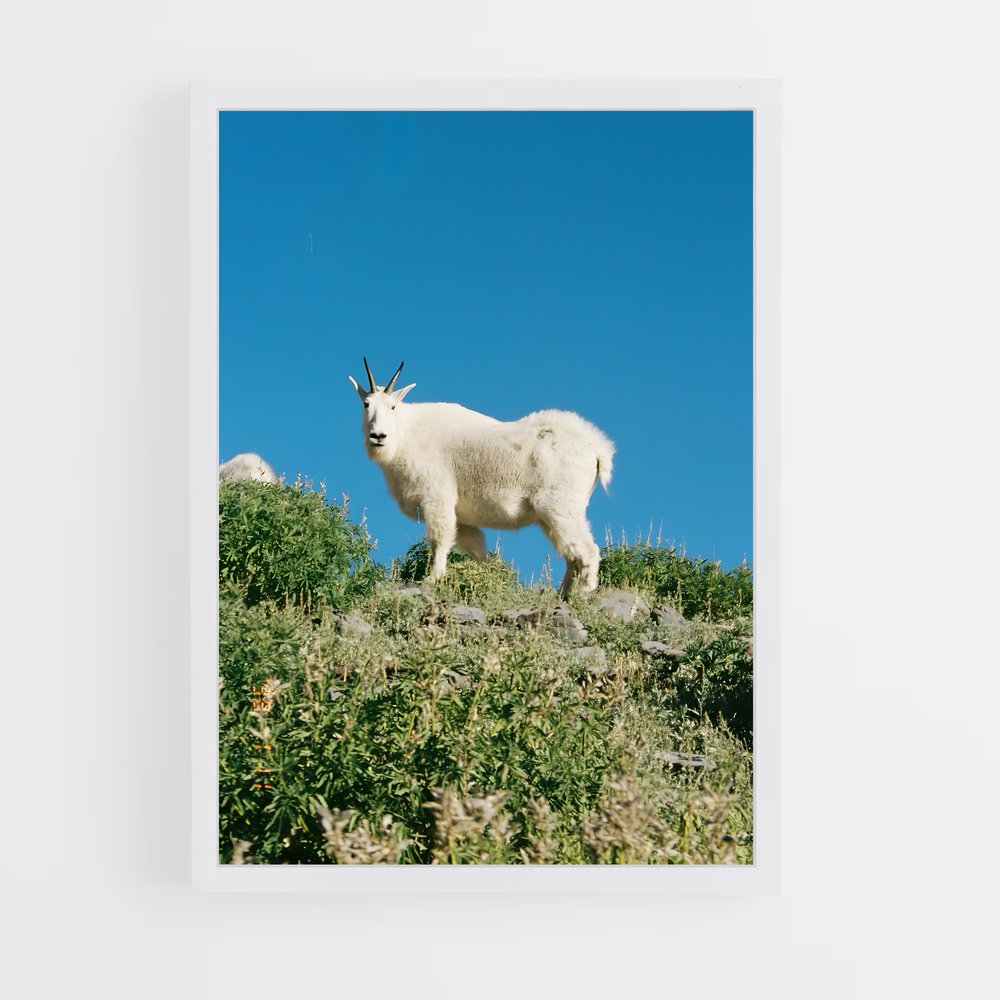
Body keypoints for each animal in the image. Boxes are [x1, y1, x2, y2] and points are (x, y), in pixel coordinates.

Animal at [348, 358, 614, 596]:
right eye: (366, 404)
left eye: (393, 406)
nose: (378, 436)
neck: (405, 434)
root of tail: (598, 450)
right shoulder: (462, 516)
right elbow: (476, 548)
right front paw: (490, 579)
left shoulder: (437, 496)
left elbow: (440, 539)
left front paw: (432, 579)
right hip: (550, 515)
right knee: (571, 555)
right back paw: (561, 595)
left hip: (560, 506)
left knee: (587, 550)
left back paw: (584, 593)